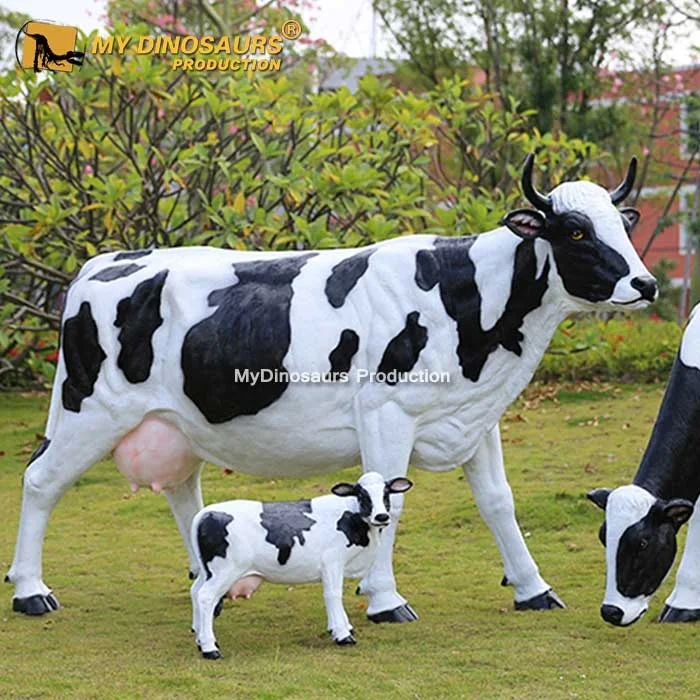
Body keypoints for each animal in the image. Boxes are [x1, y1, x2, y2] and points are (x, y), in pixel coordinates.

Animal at [6, 154, 655, 625]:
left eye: (622, 224)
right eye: (575, 230)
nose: (645, 283)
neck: (468, 300)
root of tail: (106, 261)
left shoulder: (475, 416)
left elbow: (499, 502)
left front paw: (533, 588)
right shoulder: (387, 412)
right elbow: (392, 504)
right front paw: (387, 600)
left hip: (175, 423)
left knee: (185, 493)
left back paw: (211, 582)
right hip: (90, 409)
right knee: (40, 481)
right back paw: (31, 590)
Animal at [190, 471, 413, 658]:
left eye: (386, 494)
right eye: (362, 495)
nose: (382, 516)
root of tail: (205, 513)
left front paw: (340, 627)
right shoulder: (332, 561)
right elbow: (333, 594)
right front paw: (343, 635)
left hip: (207, 571)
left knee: (195, 591)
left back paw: (200, 640)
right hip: (225, 570)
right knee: (206, 597)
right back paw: (210, 648)